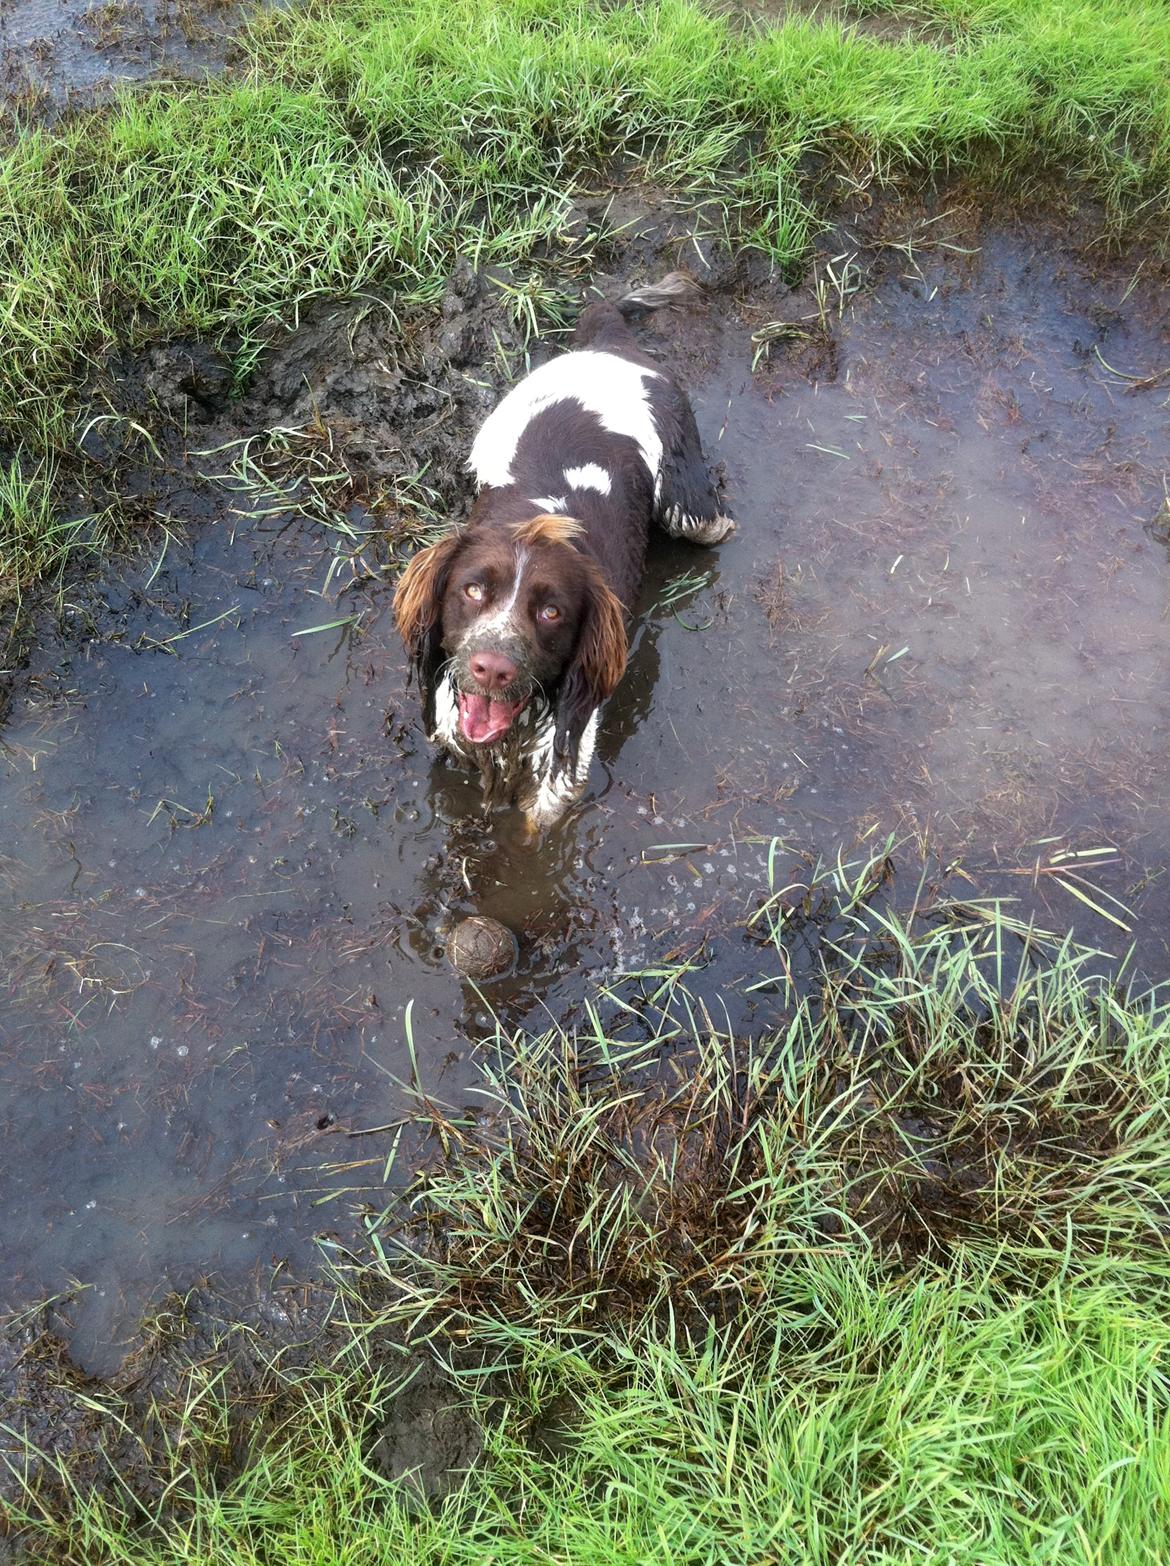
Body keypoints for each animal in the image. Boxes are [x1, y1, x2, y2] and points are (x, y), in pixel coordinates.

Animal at [397, 272, 736, 833]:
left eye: (552, 611)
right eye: (473, 589)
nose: (493, 669)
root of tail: (610, 344)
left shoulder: (565, 759)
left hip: (690, 510)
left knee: (715, 523)